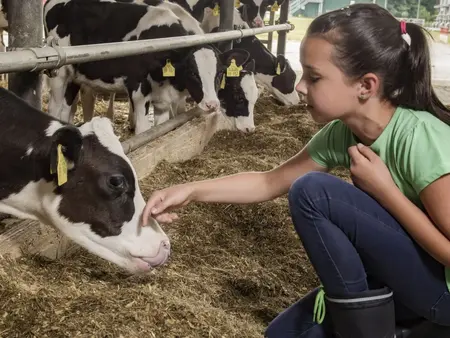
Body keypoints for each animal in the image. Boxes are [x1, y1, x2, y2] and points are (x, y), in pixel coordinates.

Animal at [44, 0, 223, 135]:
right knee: (55, 107)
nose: (212, 104)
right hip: (59, 74)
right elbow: (143, 131)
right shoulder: (138, 91)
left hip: (74, 76)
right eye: (192, 72)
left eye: (219, 74)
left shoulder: (162, 101)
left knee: (67, 108)